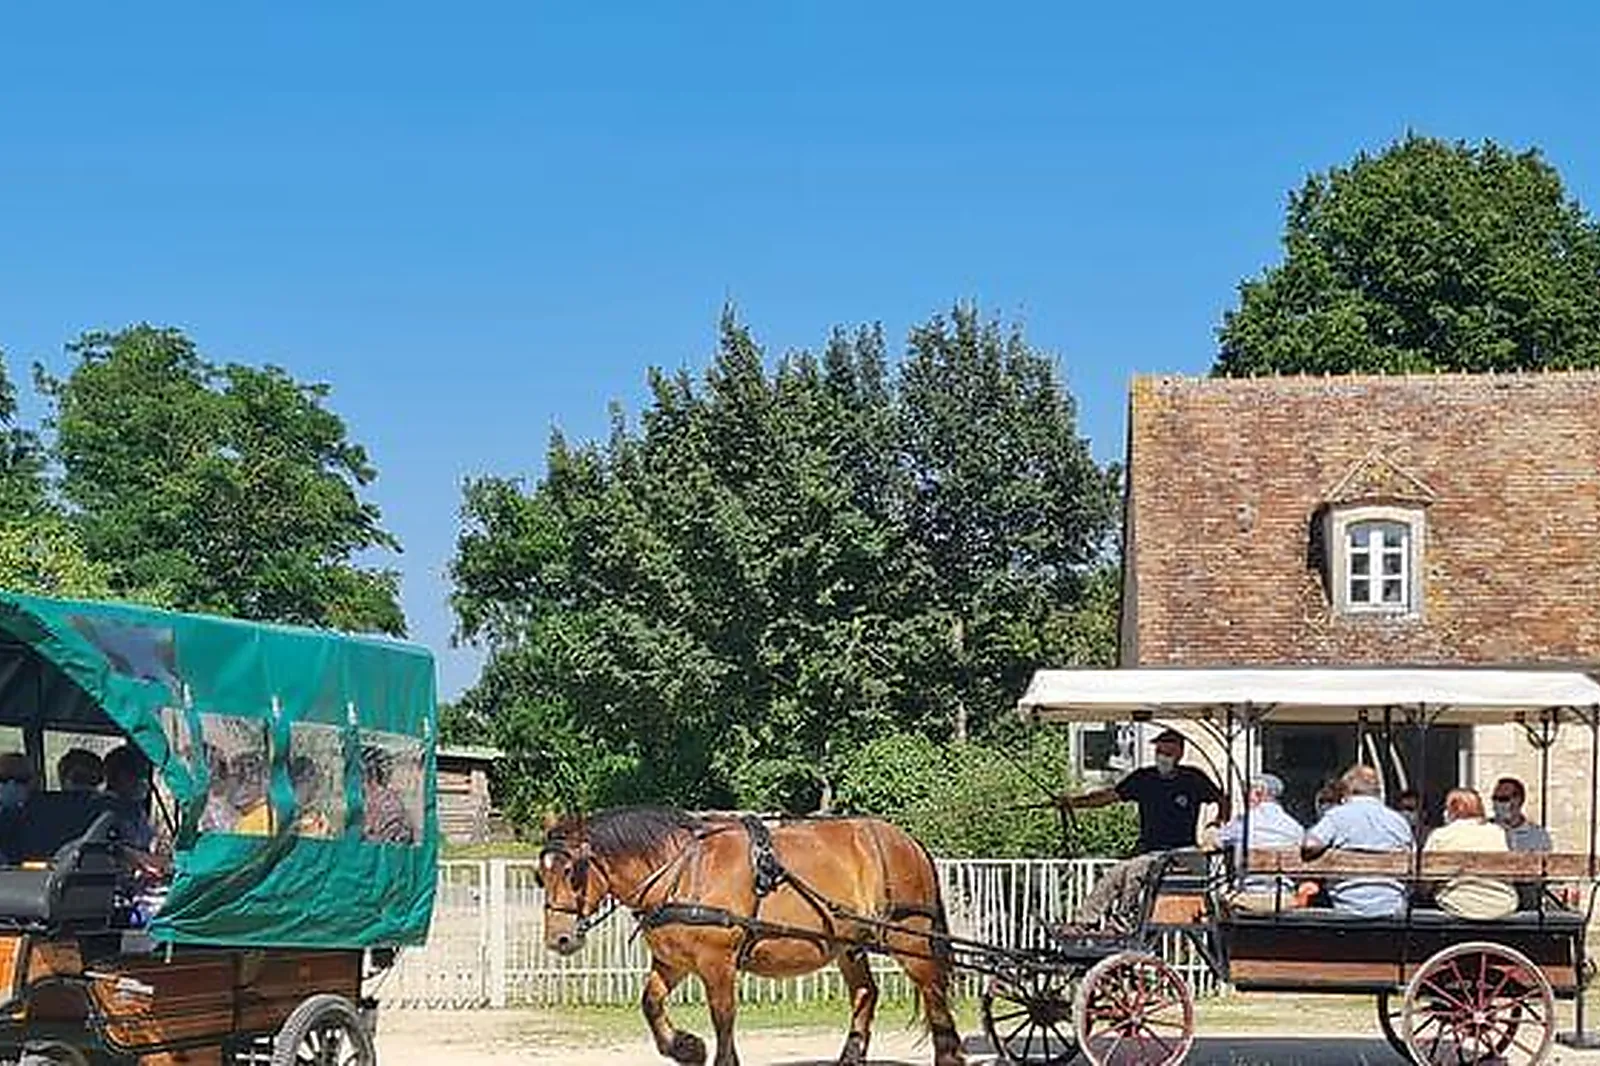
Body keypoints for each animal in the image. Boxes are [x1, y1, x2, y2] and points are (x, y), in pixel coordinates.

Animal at [537, 806, 965, 1066]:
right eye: (541, 875)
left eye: (573, 873)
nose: (559, 939)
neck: (682, 870)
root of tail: (908, 841)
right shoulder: (673, 963)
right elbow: (650, 1003)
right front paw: (686, 1047)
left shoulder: (717, 964)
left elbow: (723, 1016)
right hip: (850, 945)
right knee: (865, 993)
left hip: (909, 939)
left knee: (934, 994)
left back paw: (948, 1054)